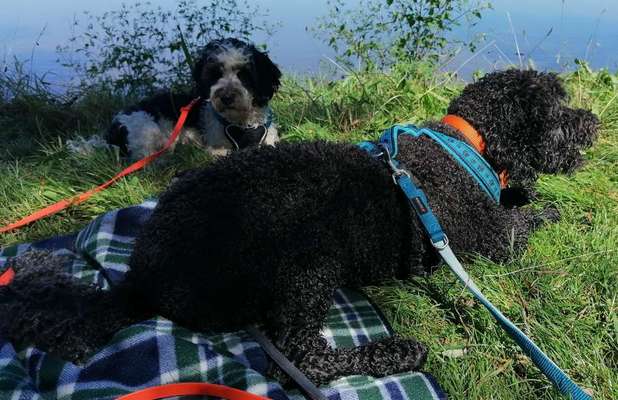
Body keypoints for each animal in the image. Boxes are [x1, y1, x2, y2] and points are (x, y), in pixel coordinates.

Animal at [0, 68, 596, 384]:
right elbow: (520, 223)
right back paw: (395, 353)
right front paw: (548, 209)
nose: (593, 122)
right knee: (301, 361)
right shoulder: (487, 240)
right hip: (310, 265)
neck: (464, 143)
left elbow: (516, 196)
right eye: (557, 109)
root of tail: (146, 273)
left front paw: (528, 191)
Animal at [107, 38, 280, 159]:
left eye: (244, 74)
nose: (226, 97)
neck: (241, 124)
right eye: (215, 74)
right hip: (146, 132)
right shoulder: (217, 148)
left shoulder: (268, 139)